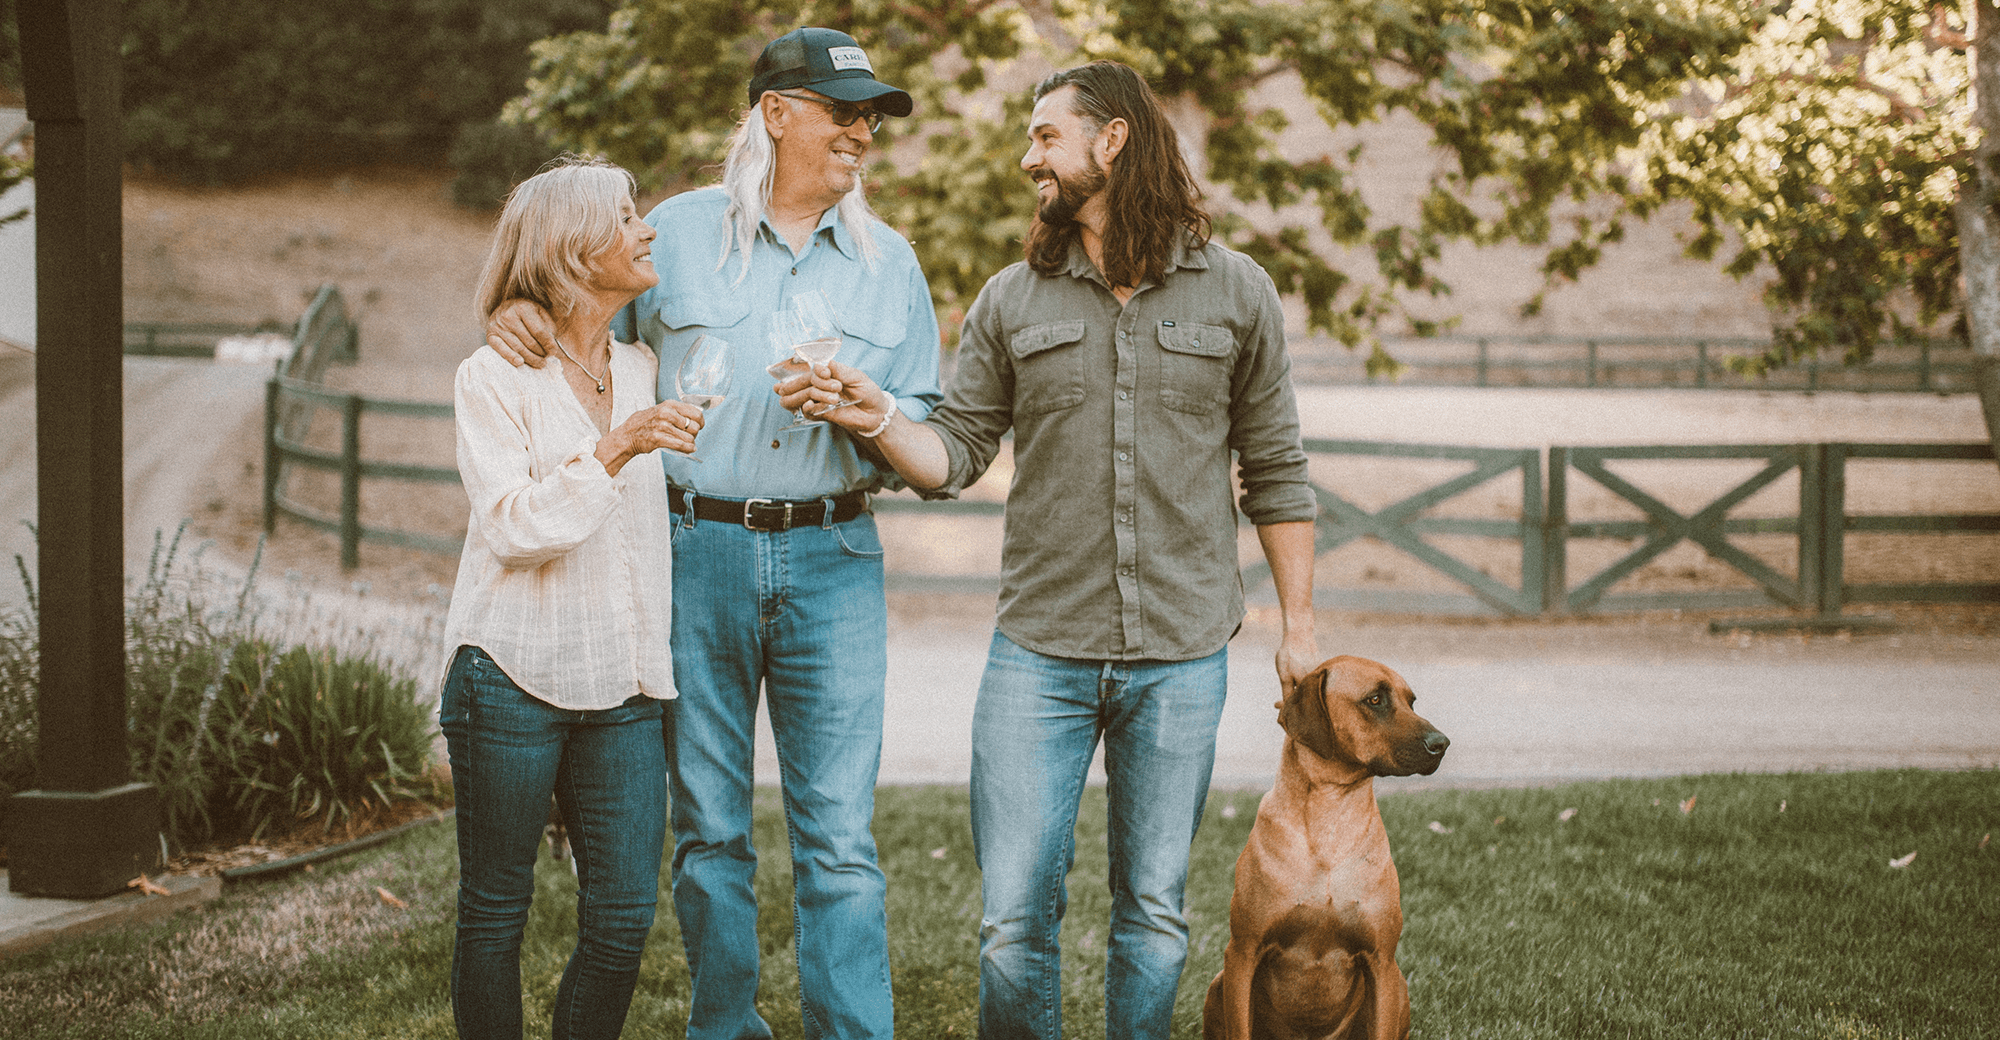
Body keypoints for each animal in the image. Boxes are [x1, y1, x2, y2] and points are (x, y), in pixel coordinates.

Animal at [1192, 660, 1448, 1040]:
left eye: (1411, 702)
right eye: (1375, 699)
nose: (1442, 743)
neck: (1329, 816)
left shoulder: (1381, 960)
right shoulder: (1242, 953)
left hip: (1399, 985)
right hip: (1218, 983)